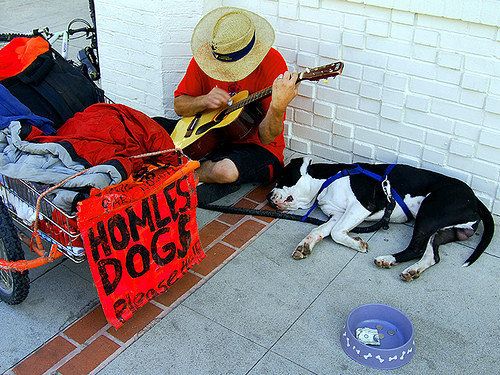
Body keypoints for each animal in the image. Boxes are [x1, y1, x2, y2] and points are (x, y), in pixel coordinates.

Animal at [268, 156, 494, 282]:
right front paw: (304, 246)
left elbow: (336, 232)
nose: (269, 197)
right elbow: (320, 230)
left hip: (429, 213)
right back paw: (411, 270)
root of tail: (475, 199)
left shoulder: (361, 206)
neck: (326, 181)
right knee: (432, 255)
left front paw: (358, 244)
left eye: (280, 180)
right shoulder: (338, 215)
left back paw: (388, 259)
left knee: (417, 248)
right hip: (443, 230)